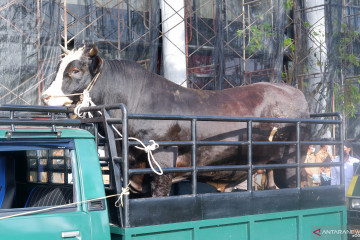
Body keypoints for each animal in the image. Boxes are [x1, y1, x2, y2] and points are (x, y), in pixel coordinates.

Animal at [42, 43, 310, 197]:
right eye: (59, 68)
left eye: (75, 70)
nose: (45, 96)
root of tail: (293, 91)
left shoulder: (162, 164)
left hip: (291, 163)